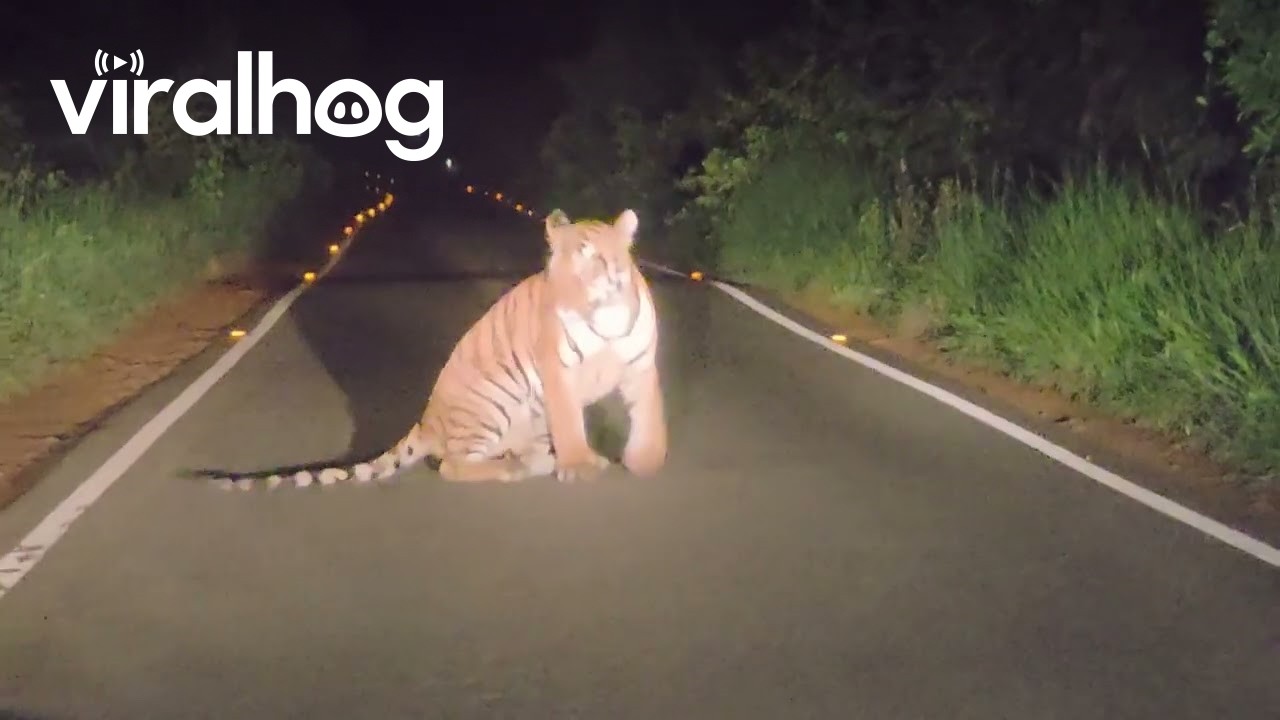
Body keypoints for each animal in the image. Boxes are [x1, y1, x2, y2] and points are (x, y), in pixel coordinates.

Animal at [196, 207, 668, 490]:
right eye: (558, 265)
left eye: (593, 260)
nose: (561, 297)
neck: (604, 319)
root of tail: (427, 420)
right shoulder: (557, 372)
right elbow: (570, 422)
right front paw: (581, 466)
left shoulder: (641, 366)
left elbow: (649, 415)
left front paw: (645, 462)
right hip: (491, 404)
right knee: (453, 465)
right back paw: (516, 469)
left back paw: (539, 462)